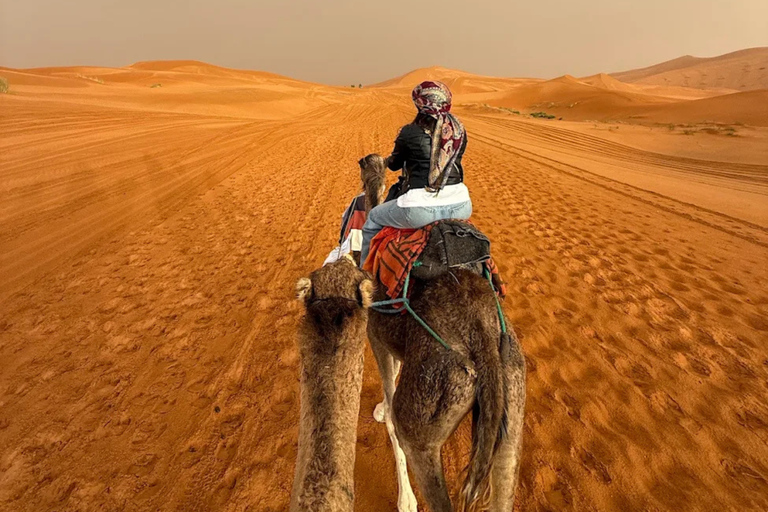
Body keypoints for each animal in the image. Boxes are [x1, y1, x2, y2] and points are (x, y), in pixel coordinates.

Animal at [358, 154, 526, 512]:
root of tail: (484, 341)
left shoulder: (376, 336)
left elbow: (391, 413)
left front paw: (405, 500)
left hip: (427, 413)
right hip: (513, 410)